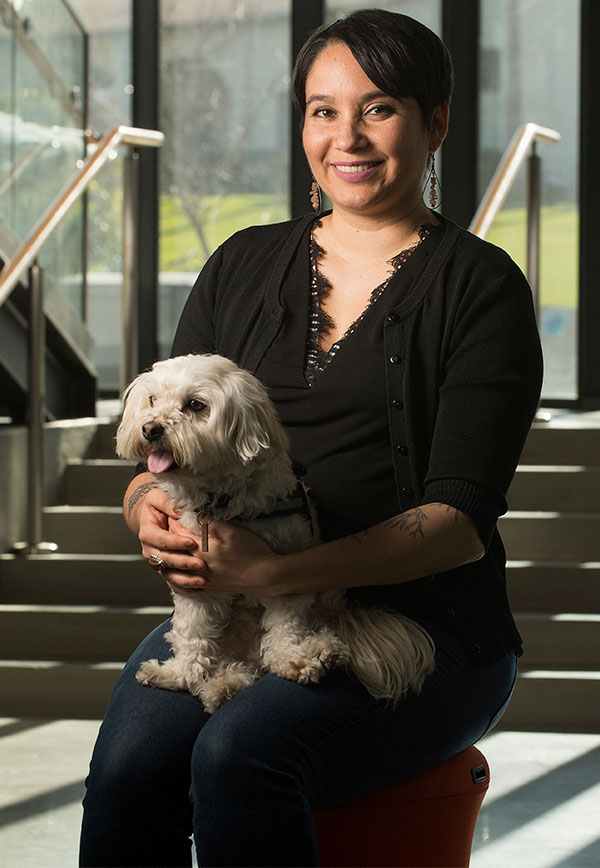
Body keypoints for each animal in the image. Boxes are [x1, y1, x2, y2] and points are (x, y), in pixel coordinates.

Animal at [116, 352, 436, 712]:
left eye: (196, 405)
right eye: (152, 400)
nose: (150, 428)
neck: (221, 500)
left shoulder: (286, 571)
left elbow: (285, 624)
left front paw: (292, 659)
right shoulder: (196, 582)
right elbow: (192, 633)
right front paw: (180, 674)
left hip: (320, 605)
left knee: (292, 644)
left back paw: (317, 653)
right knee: (242, 666)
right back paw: (222, 686)